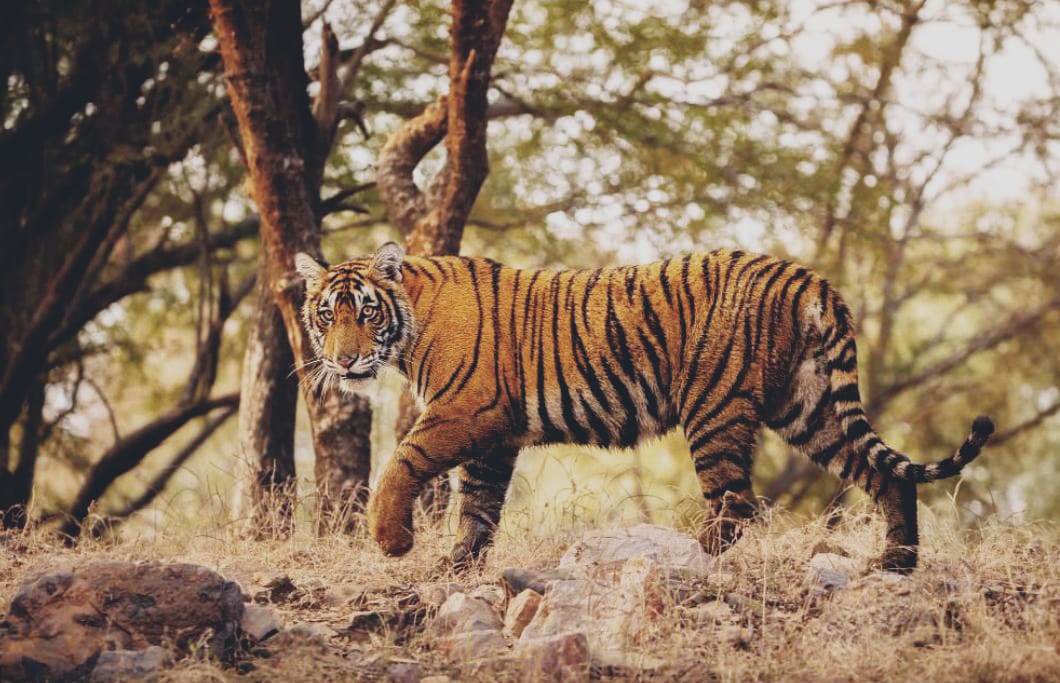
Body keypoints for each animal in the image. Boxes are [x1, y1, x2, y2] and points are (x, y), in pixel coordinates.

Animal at [292, 242, 992, 572]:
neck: (408, 328)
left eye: (366, 313)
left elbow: (402, 461)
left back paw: (681, 555)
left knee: (736, 504)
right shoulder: (496, 435)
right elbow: (479, 508)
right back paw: (896, 564)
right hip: (809, 406)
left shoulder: (467, 410)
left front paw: (393, 541)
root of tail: (808, 278)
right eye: (327, 316)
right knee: (885, 477)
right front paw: (455, 566)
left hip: (714, 406)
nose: (344, 361)